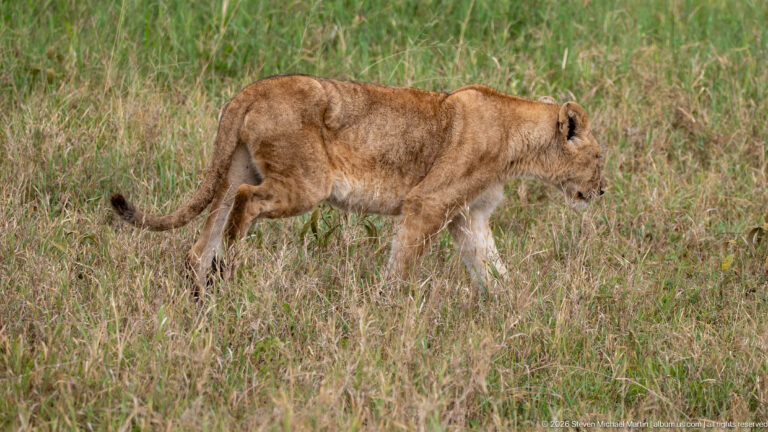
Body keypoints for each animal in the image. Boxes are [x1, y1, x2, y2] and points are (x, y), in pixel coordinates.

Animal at [110, 75, 605, 292]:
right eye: (600, 159)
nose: (602, 192)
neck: (517, 138)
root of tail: (252, 89)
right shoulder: (428, 202)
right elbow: (402, 263)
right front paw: (389, 308)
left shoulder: (469, 217)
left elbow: (494, 268)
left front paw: (514, 309)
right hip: (306, 182)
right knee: (245, 206)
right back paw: (228, 272)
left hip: (235, 170)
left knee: (204, 237)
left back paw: (203, 289)